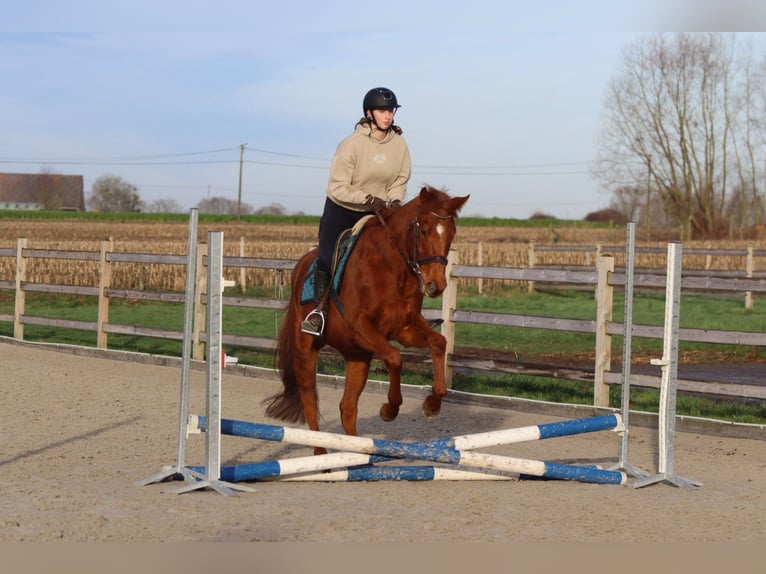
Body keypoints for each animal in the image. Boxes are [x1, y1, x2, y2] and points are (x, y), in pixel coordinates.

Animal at [264, 185, 469, 453]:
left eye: (452, 233)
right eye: (423, 229)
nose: (436, 285)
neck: (392, 270)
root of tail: (300, 267)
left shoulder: (405, 328)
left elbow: (438, 343)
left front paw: (432, 404)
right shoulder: (362, 328)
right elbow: (394, 358)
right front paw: (389, 409)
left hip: (357, 356)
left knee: (347, 408)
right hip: (305, 350)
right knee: (310, 401)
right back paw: (321, 454)